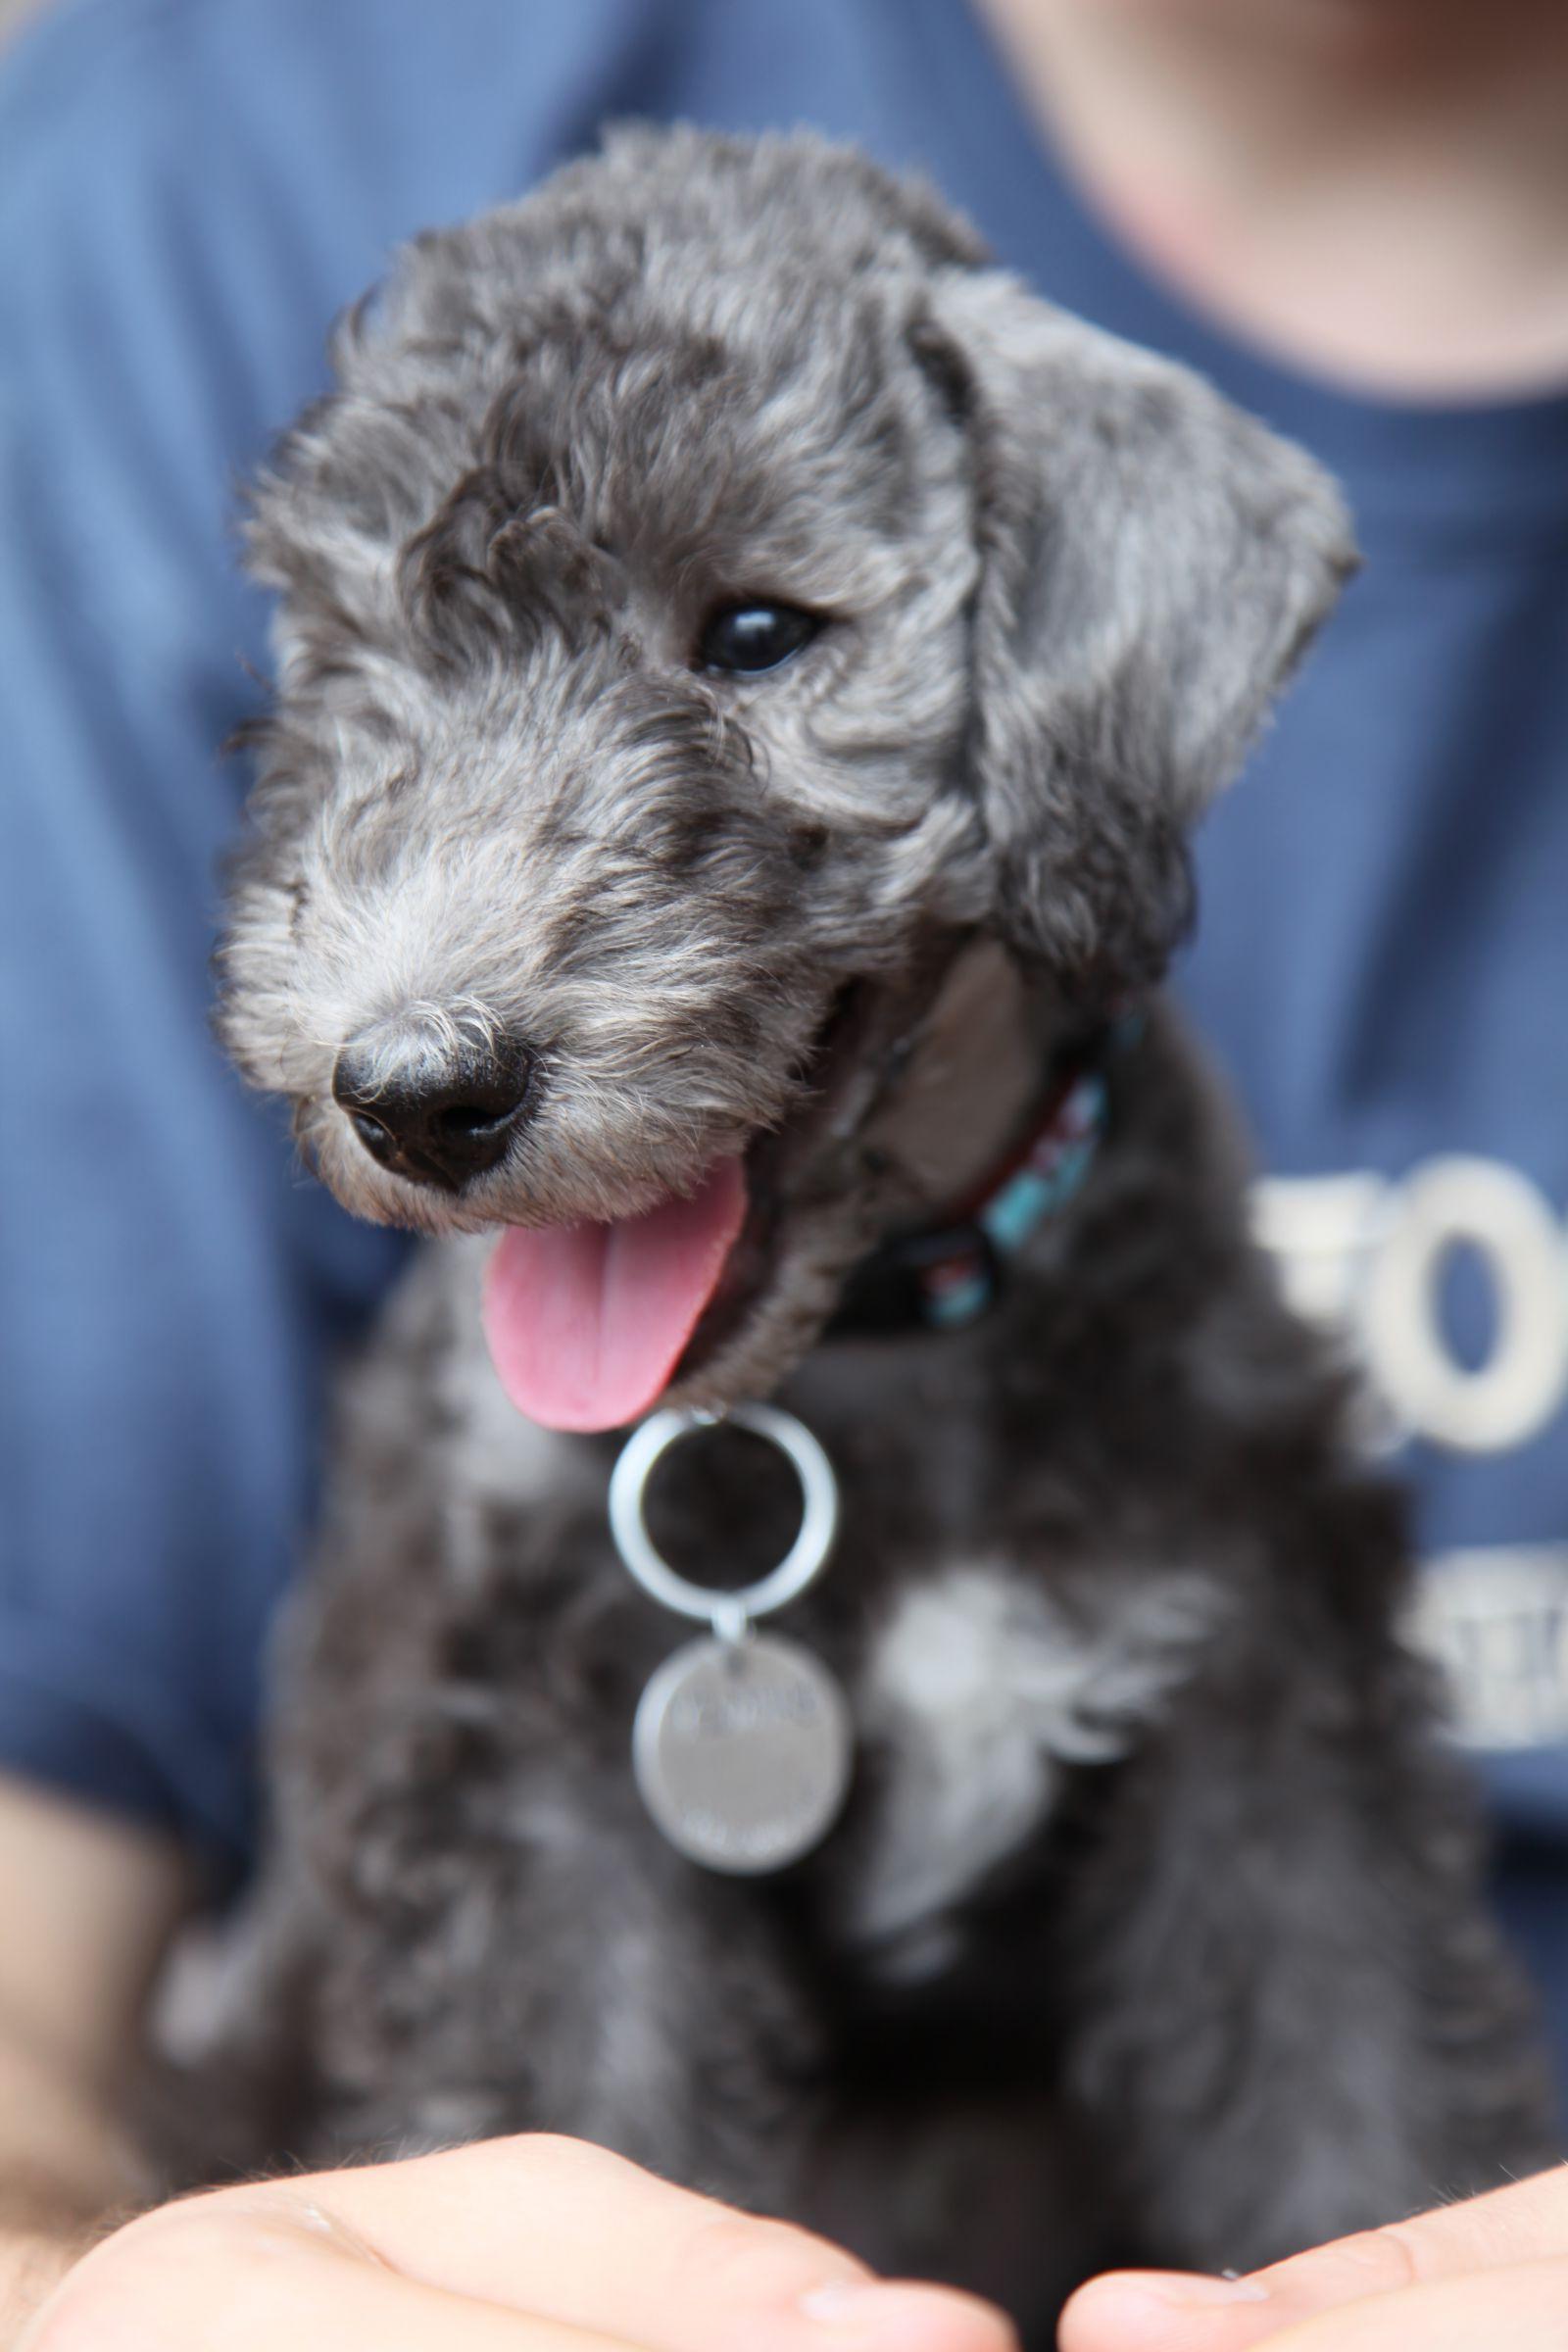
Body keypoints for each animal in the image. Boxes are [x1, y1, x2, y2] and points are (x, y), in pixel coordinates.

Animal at [172, 128, 1560, 2332]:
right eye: (352, 655)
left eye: (754, 630)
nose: (414, 1088)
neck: (887, 1348)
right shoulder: (538, 1813)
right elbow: (585, 2128)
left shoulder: (1274, 1735)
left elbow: (1353, 2107)